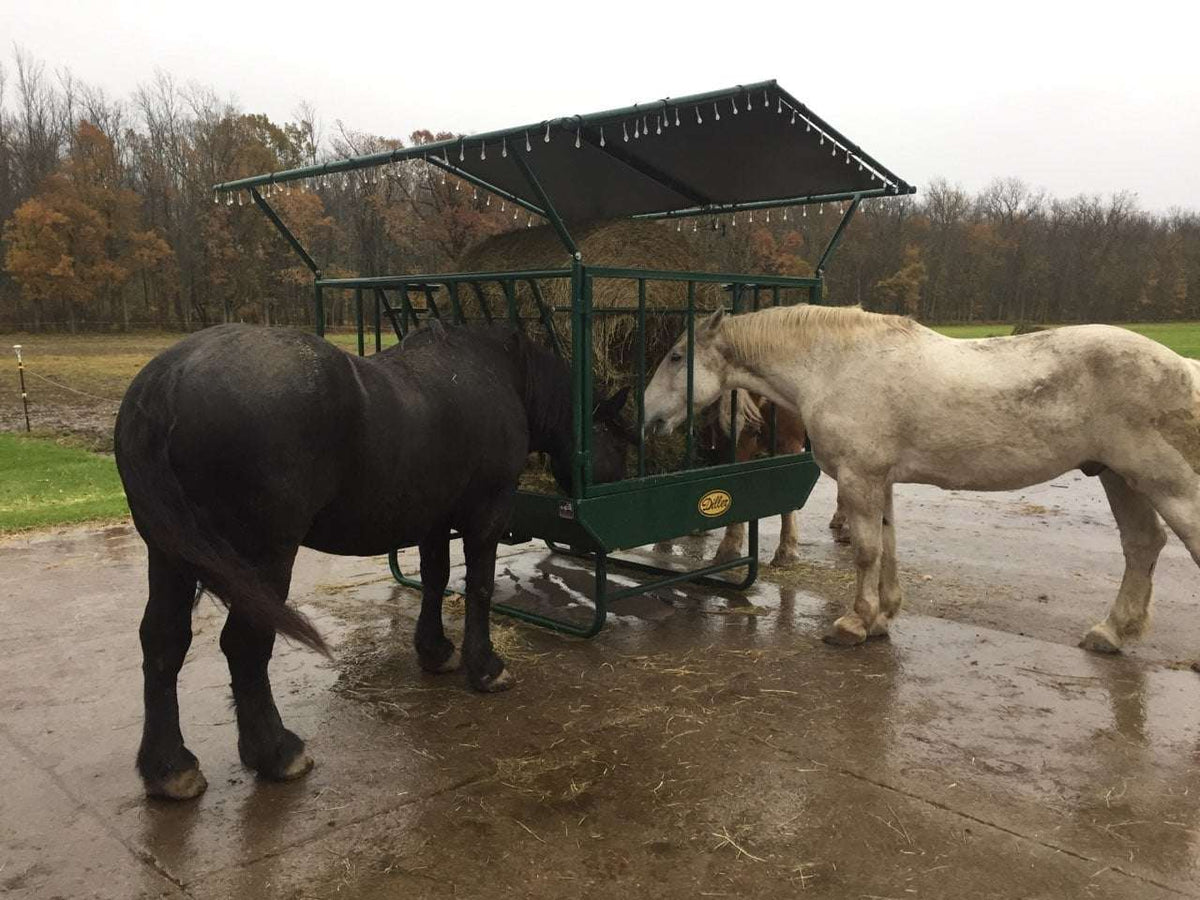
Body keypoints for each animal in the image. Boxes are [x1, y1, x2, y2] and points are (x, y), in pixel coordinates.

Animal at [114, 322, 629, 800]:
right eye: (619, 438)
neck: (498, 373)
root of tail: (169, 379)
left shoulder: (433, 519)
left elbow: (437, 579)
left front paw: (435, 651)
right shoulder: (486, 513)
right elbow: (478, 587)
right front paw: (486, 668)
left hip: (169, 555)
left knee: (163, 641)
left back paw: (169, 768)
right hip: (263, 559)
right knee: (244, 645)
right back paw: (277, 752)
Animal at [643, 304, 1200, 650]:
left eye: (676, 357)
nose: (648, 417)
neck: (834, 366)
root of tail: (1185, 365)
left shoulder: (859, 478)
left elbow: (866, 550)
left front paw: (854, 622)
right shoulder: (879, 480)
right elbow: (888, 545)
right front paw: (883, 617)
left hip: (1166, 485)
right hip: (1120, 478)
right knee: (1141, 545)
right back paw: (1111, 633)